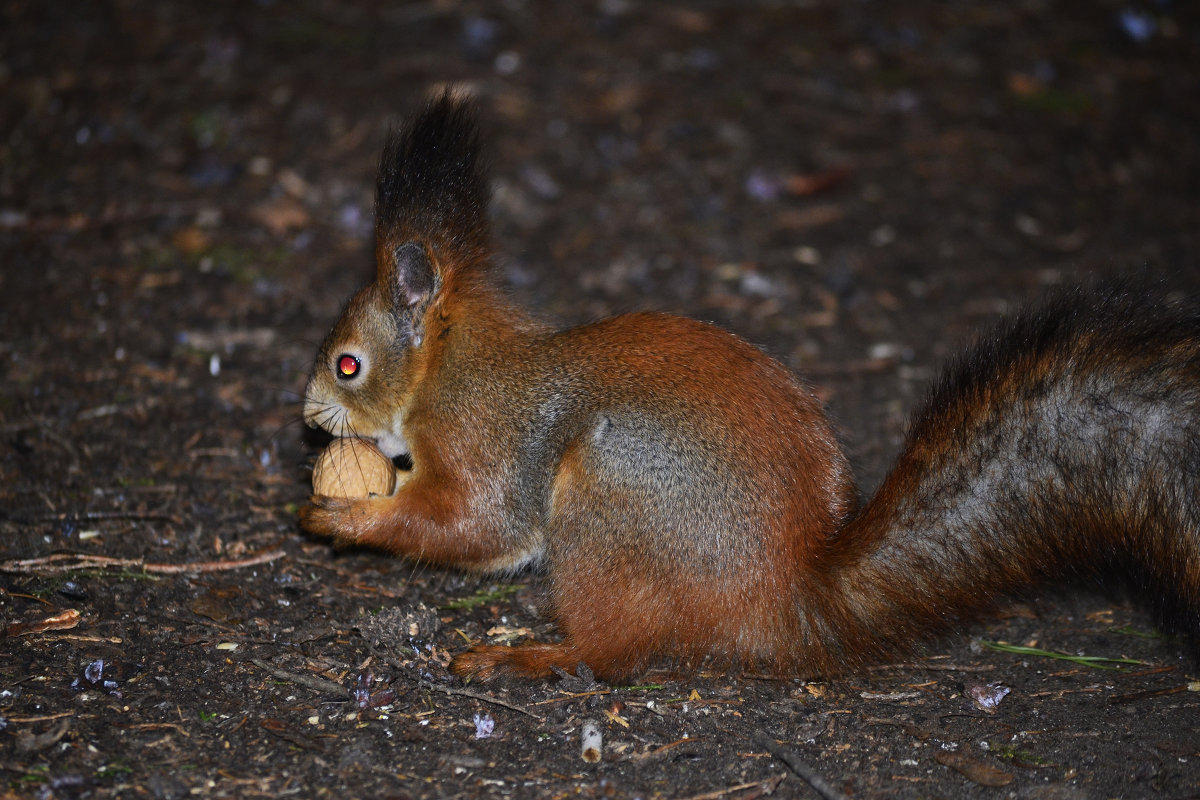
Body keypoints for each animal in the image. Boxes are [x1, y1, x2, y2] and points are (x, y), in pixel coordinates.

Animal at [300, 94, 1200, 681]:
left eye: (347, 364)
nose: (307, 415)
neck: (447, 364)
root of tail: (780, 600)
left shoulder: (480, 436)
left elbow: (477, 523)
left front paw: (346, 516)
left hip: (609, 501)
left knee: (617, 655)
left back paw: (531, 655)